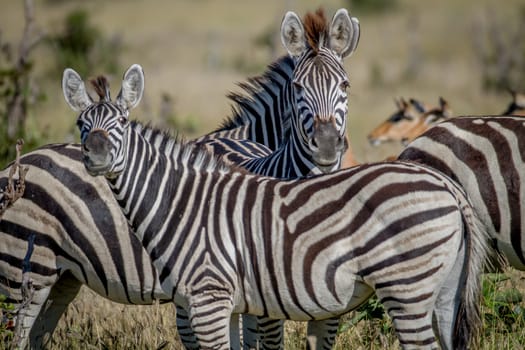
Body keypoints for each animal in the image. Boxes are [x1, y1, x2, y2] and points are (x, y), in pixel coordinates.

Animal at [63, 63, 490, 350]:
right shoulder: (220, 302)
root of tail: (446, 184)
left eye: (120, 123)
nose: (96, 156)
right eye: (83, 125)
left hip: (407, 289)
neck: (182, 202)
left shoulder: (208, 297)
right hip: (445, 291)